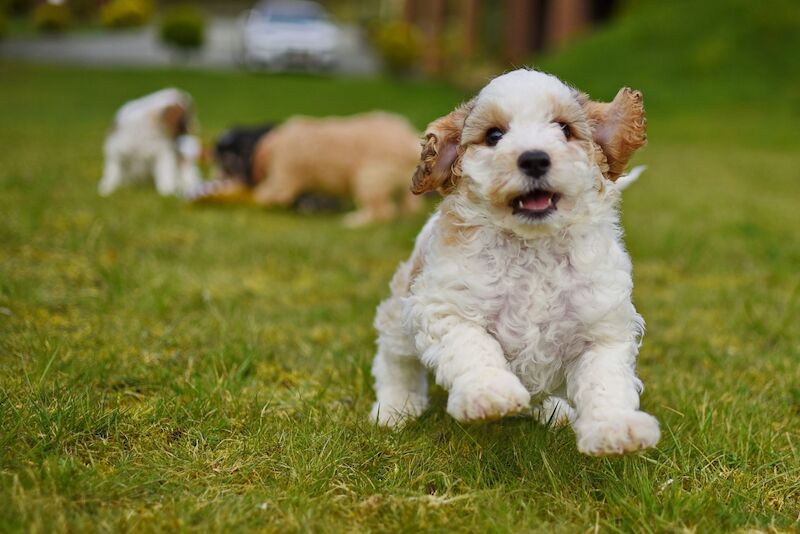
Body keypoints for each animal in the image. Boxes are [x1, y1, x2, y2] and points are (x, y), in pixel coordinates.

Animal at [250, 112, 424, 227]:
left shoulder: (284, 177)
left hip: (370, 180)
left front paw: (257, 199)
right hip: (405, 185)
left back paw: (354, 221)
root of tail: (409, 140)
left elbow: (268, 192)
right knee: (409, 207)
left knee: (382, 212)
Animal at [368, 69, 656, 458]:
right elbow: (473, 347)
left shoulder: (602, 329)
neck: (532, 248)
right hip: (400, 313)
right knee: (396, 360)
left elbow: (606, 380)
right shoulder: (445, 307)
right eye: (494, 135)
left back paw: (555, 410)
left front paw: (615, 427)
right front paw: (490, 393)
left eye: (564, 129)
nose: (534, 159)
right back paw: (395, 407)